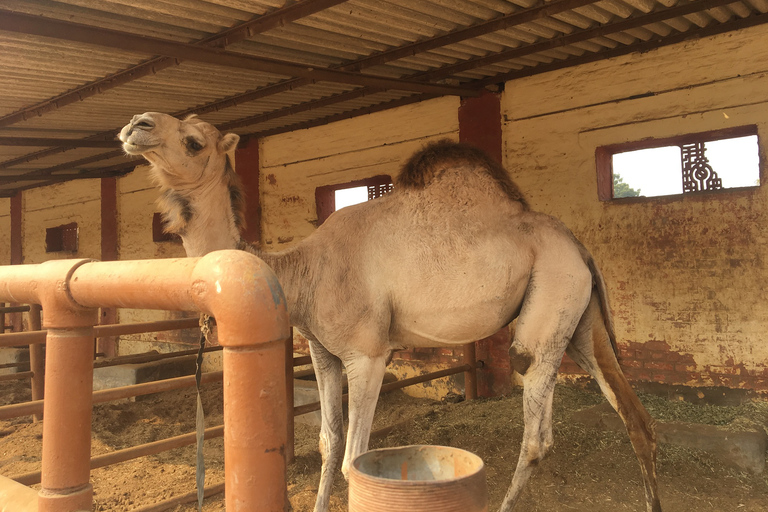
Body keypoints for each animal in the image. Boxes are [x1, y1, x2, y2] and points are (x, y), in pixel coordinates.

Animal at [118, 112, 660, 512]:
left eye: (194, 141)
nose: (136, 124)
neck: (302, 271)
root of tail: (580, 247)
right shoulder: (322, 352)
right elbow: (327, 443)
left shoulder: (368, 354)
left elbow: (354, 459)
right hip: (580, 319)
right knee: (631, 414)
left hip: (550, 306)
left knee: (536, 432)